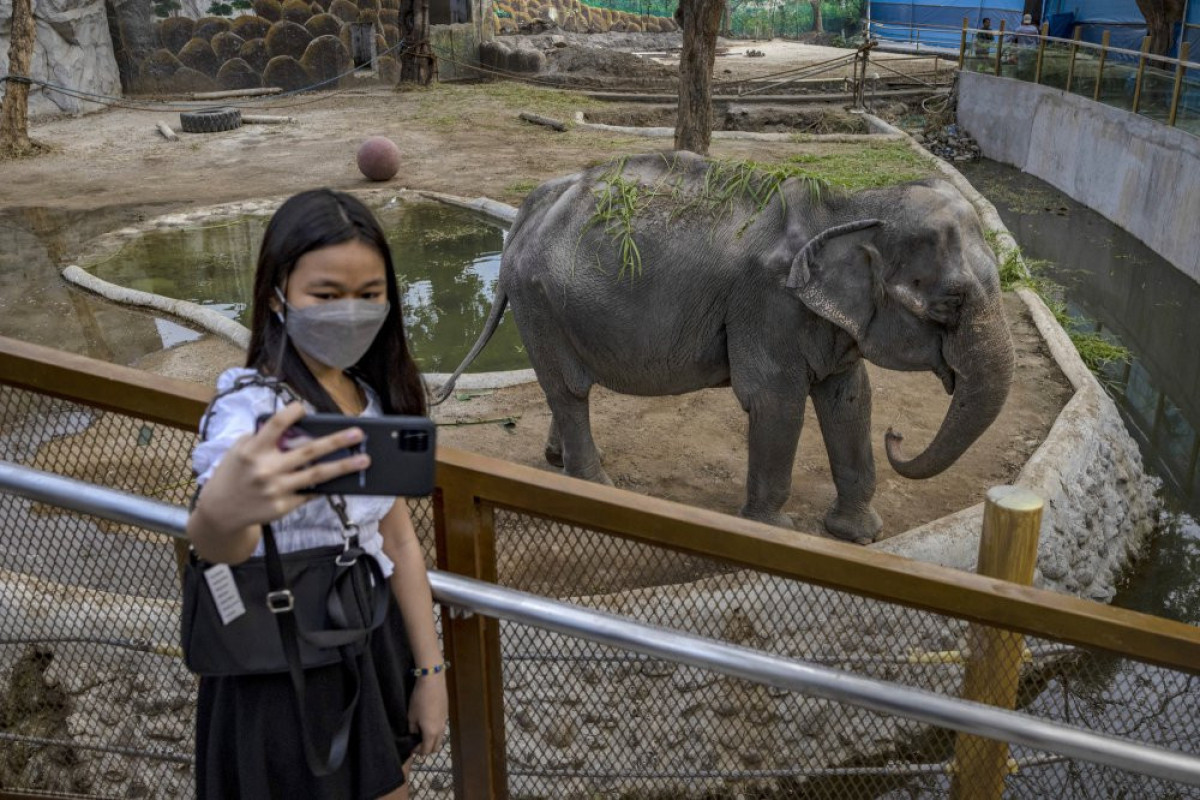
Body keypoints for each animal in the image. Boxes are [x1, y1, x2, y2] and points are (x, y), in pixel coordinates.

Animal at [434, 149, 1012, 544]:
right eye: (949, 305)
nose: (898, 436)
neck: (848, 205)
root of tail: (531, 208)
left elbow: (850, 398)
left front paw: (861, 535)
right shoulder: (769, 305)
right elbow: (776, 401)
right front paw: (775, 530)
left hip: (547, 304)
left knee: (564, 388)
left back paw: (558, 460)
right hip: (537, 299)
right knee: (569, 389)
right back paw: (598, 487)